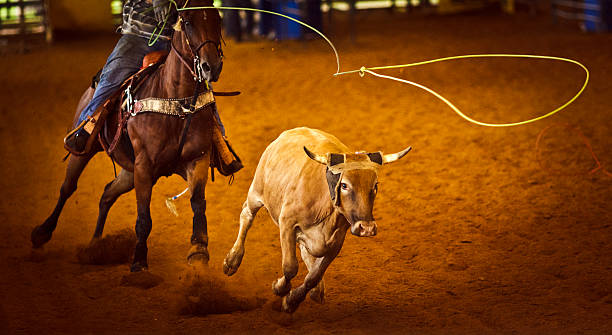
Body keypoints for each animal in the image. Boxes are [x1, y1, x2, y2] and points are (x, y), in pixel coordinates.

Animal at [29, 0, 224, 272]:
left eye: (219, 19)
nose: (211, 66)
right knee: (67, 188)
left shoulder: (197, 159)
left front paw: (198, 252)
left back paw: (95, 246)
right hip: (85, 150)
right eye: (187, 22)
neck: (177, 102)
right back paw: (42, 233)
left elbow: (198, 204)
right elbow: (143, 218)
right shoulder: (144, 166)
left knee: (107, 193)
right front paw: (139, 262)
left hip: (129, 171)